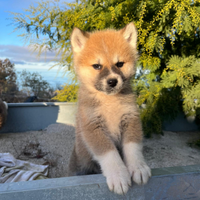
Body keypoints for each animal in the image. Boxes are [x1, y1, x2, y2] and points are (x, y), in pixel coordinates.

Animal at [68, 22, 151, 195]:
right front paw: (118, 175)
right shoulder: (93, 127)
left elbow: (132, 148)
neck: (110, 102)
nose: (112, 81)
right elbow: (109, 154)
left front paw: (138, 167)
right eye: (97, 66)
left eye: (119, 64)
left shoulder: (130, 119)